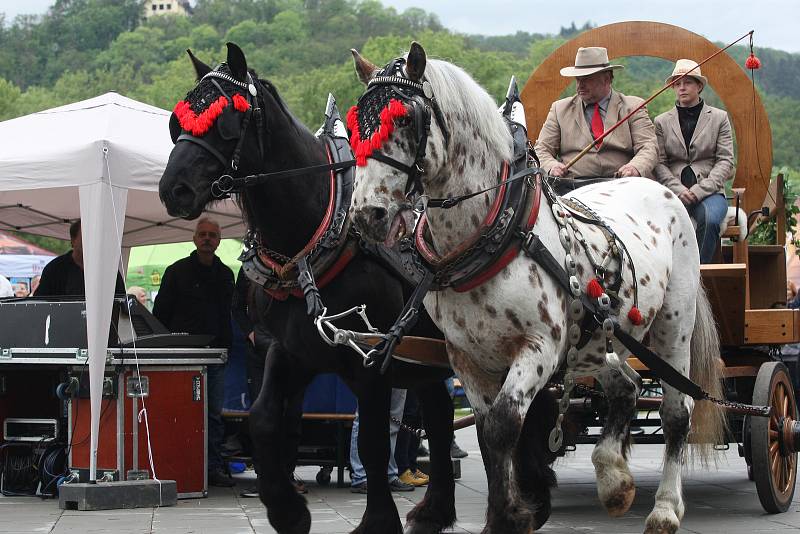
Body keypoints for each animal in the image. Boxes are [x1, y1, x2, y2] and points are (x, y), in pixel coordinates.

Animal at [158, 44, 456, 534]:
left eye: (227, 121)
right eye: (176, 122)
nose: (172, 189)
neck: (320, 232)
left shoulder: (372, 361)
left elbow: (373, 443)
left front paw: (377, 520)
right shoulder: (294, 351)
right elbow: (263, 419)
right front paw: (286, 509)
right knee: (440, 413)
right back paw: (436, 510)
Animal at [350, 43, 732, 534]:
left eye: (404, 120)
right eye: (356, 126)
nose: (367, 215)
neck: (494, 232)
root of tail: (661, 190)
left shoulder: (539, 346)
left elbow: (502, 427)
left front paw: (506, 518)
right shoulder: (467, 357)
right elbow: (487, 433)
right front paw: (515, 511)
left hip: (672, 329)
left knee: (676, 413)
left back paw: (665, 507)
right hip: (595, 341)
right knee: (626, 385)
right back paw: (613, 479)